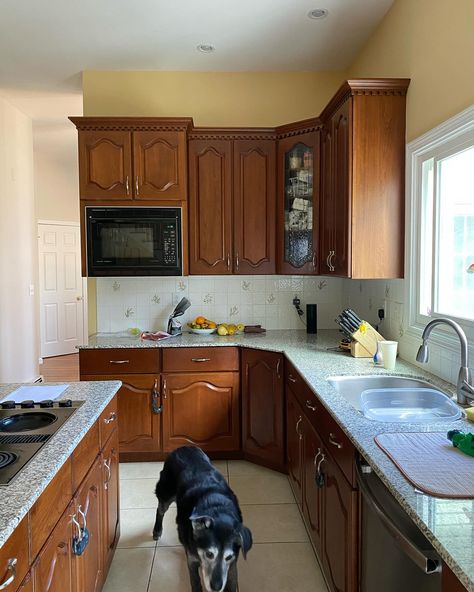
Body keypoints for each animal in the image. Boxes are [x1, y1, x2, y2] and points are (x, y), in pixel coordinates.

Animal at [154, 448, 254, 592]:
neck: (218, 510)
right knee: (160, 509)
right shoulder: (191, 558)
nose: (216, 587)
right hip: (166, 493)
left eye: (228, 557)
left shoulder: (233, 562)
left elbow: (232, 581)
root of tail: (183, 447)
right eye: (209, 554)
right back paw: (157, 530)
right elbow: (195, 581)